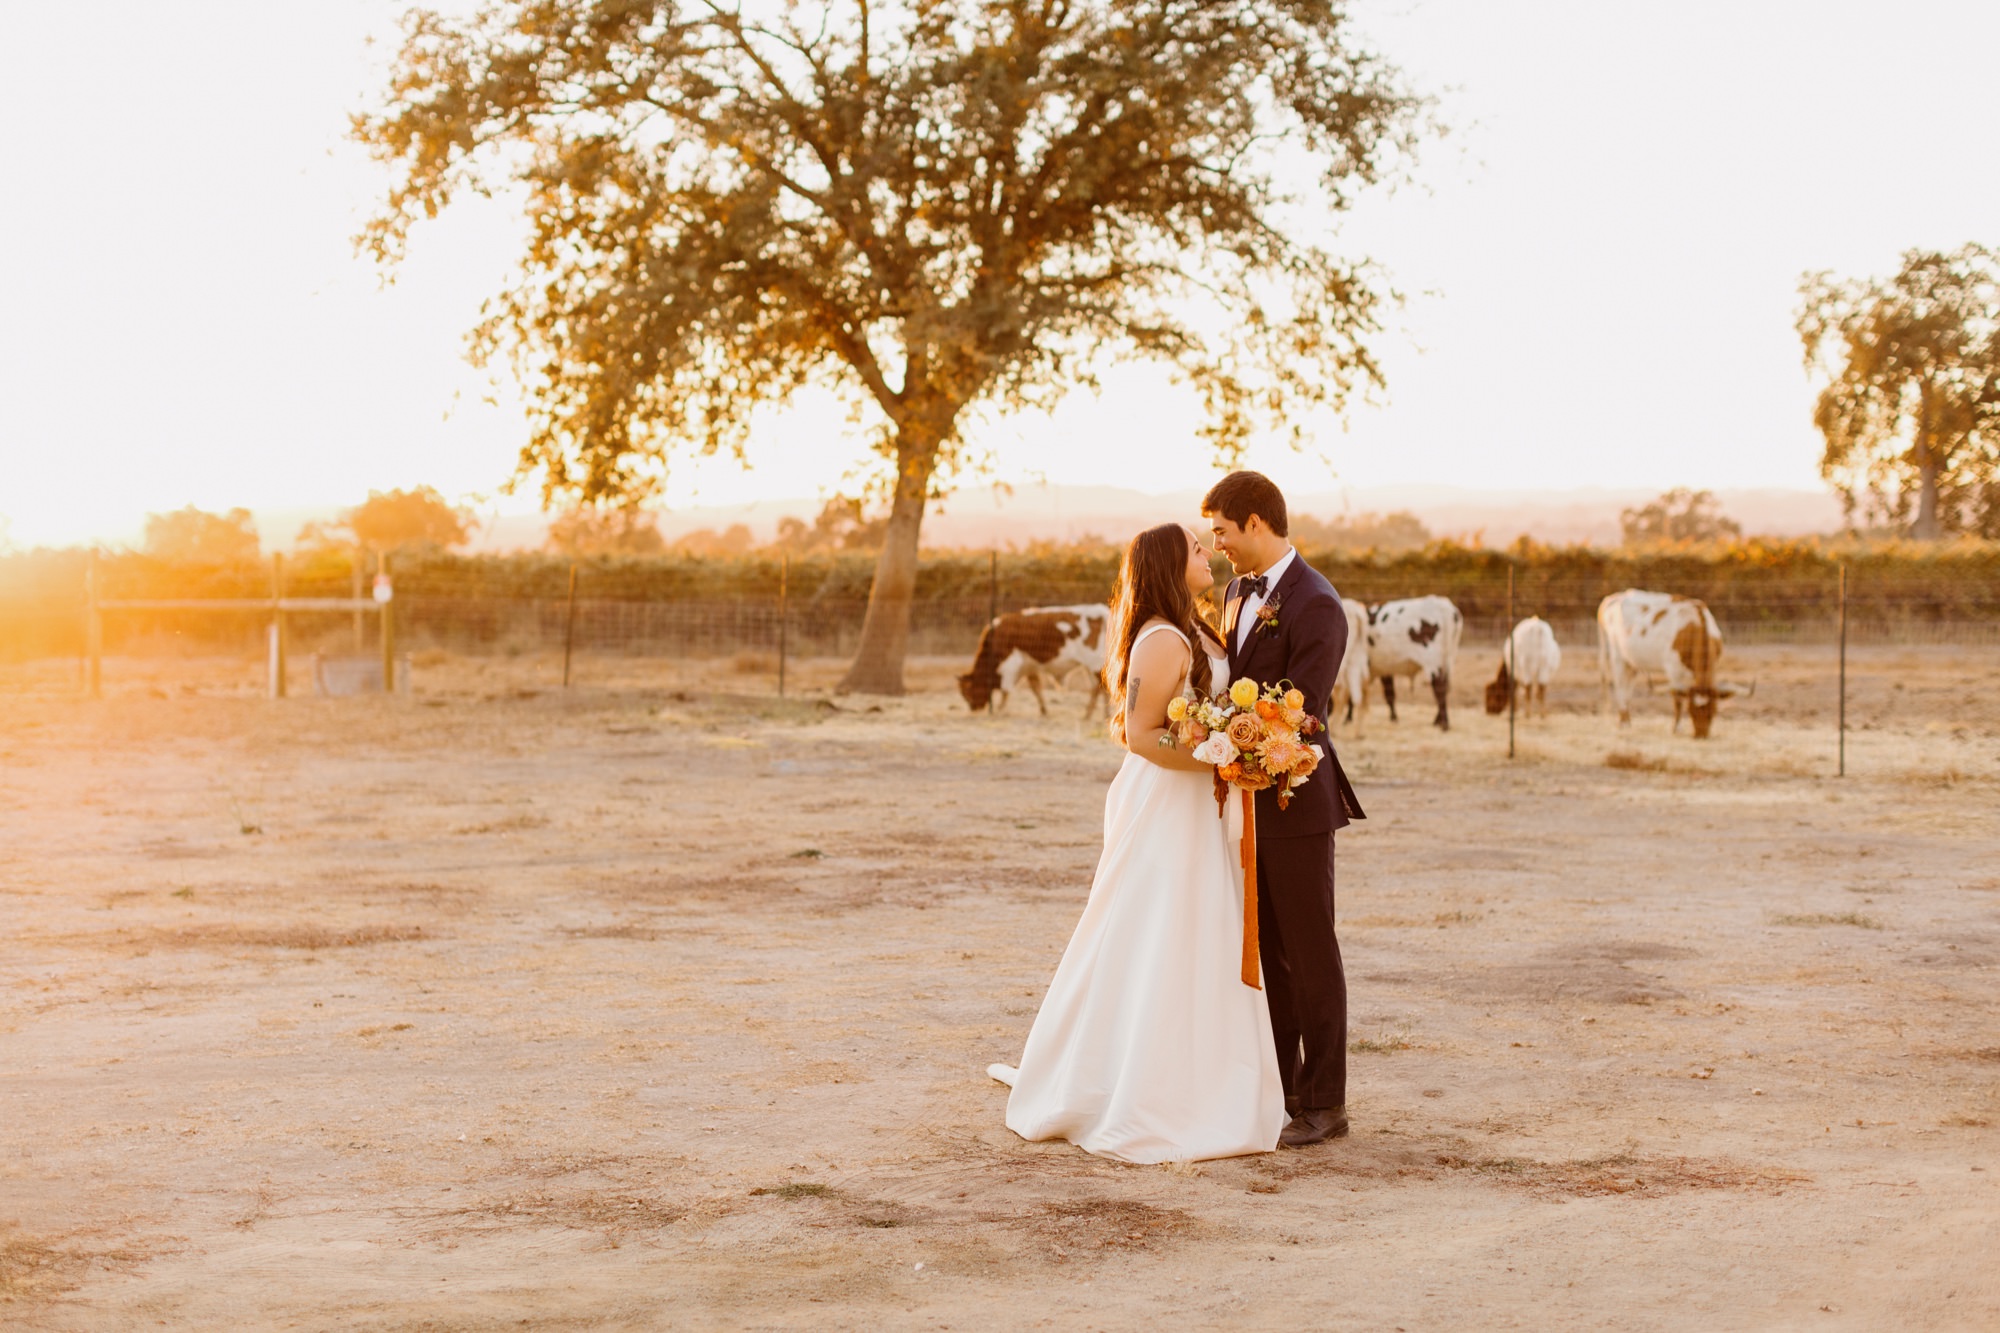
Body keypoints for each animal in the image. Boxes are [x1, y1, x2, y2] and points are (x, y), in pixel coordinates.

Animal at [952, 604, 1112, 716]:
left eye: (966, 691)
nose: (973, 708)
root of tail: (1103, 612)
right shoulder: (1029, 666)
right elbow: (1036, 689)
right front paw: (1043, 710)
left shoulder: (1010, 665)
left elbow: (1005, 690)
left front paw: (999, 709)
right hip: (1090, 667)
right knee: (1096, 688)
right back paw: (1090, 714)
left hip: (1094, 664)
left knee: (1101, 688)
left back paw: (1099, 714)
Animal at [1368, 596, 1464, 732]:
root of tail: (1445, 606)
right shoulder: (1385, 669)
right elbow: (1390, 694)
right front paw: (1393, 718)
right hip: (1449, 658)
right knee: (1446, 686)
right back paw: (1437, 720)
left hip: (1433, 661)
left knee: (1439, 687)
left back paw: (1444, 724)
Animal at [1592, 588, 1752, 736]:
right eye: (1690, 711)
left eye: (1712, 712)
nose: (1701, 735)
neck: (1696, 627)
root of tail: (1613, 597)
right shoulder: (1673, 669)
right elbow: (1678, 698)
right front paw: (1677, 728)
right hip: (1617, 656)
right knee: (1620, 686)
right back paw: (1624, 722)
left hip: (1632, 661)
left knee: (1628, 688)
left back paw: (1627, 721)